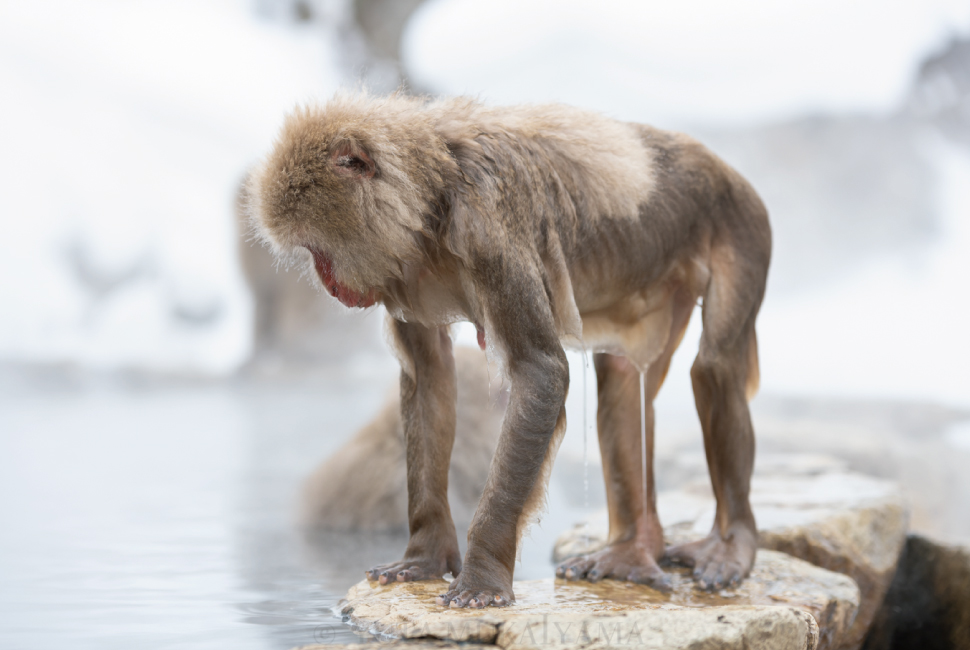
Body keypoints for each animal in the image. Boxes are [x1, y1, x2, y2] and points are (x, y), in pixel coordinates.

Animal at [248, 92, 772, 608]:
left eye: (317, 250)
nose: (329, 284)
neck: (436, 192)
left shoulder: (488, 229)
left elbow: (539, 372)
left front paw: (482, 573)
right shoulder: (405, 269)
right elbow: (430, 373)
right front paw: (426, 555)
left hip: (744, 225)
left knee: (714, 369)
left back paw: (732, 543)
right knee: (623, 381)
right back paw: (632, 551)